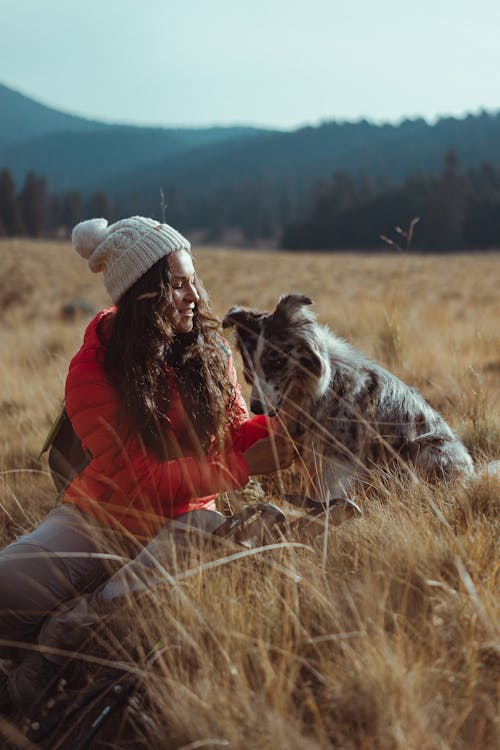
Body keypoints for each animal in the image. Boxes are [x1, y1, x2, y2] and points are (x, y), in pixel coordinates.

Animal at [222, 296, 472, 502]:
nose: (256, 408)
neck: (317, 390)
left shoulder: (334, 464)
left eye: (277, 362)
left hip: (427, 449)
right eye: (248, 368)